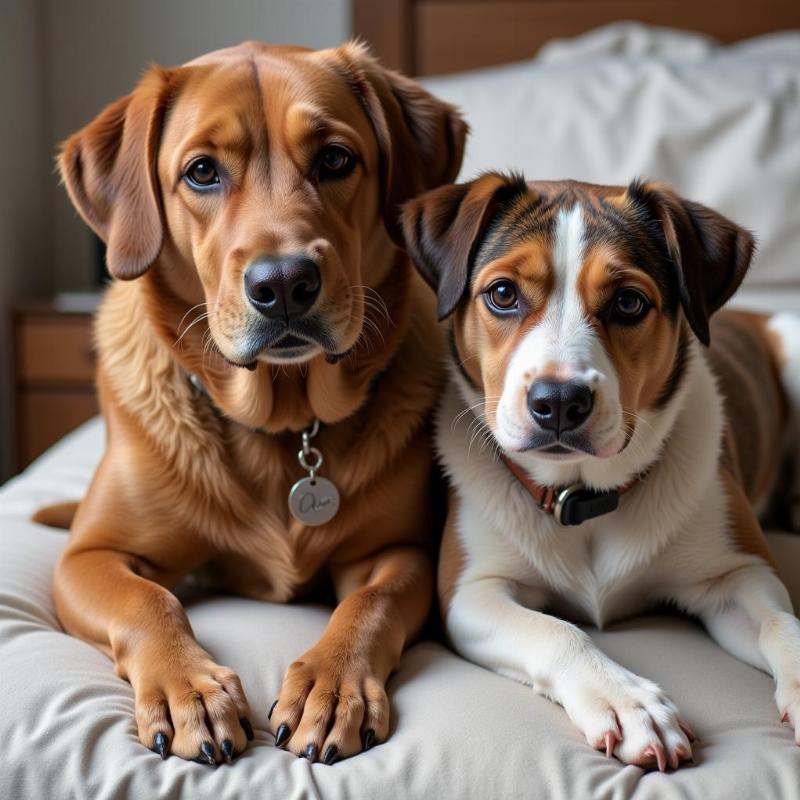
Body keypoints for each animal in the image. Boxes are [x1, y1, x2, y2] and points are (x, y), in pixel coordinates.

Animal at [48, 40, 462, 764]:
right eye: (202, 172)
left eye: (335, 159)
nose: (285, 282)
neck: (284, 421)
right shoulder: (86, 557)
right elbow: (148, 601)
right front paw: (188, 689)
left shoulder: (400, 549)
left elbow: (370, 606)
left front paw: (332, 685)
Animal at [404, 173, 800, 768]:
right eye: (503, 294)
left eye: (629, 303)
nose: (558, 401)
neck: (583, 497)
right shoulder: (472, 590)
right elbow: (556, 631)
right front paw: (625, 702)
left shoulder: (736, 573)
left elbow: (782, 624)